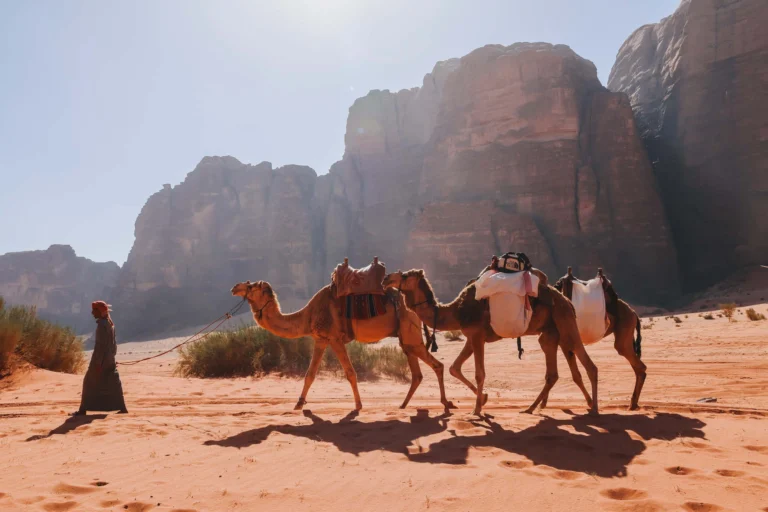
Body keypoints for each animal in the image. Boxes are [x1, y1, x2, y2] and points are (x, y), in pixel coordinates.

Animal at [230, 280, 455, 411]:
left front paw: (358, 405)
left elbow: (350, 372)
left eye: (251, 286)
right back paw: (403, 404)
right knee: (417, 372)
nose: (234, 287)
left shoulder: (335, 338)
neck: (308, 315)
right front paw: (299, 404)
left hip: (409, 331)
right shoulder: (321, 339)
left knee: (436, 365)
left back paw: (445, 403)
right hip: (406, 337)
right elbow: (310, 374)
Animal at [382, 268, 599, 416]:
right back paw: (530, 408)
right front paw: (484, 400)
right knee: (552, 372)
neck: (455, 311)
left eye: (404, 275)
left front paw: (477, 410)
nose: (385, 279)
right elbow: (454, 368)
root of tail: (567, 301)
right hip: (550, 333)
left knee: (589, 364)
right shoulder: (471, 337)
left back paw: (594, 408)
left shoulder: (477, 336)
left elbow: (479, 373)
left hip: (566, 322)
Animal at [553, 267, 646, 410]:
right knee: (637, 367)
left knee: (639, 366)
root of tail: (634, 313)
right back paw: (633, 403)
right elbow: (576, 375)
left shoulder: (566, 342)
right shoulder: (566, 343)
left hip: (624, 332)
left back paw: (632, 405)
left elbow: (577, 375)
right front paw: (590, 403)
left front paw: (591, 403)